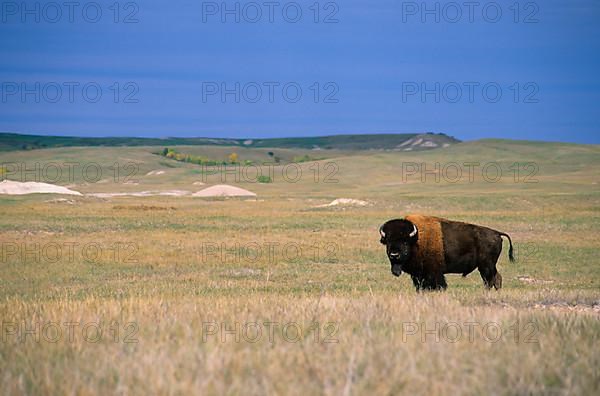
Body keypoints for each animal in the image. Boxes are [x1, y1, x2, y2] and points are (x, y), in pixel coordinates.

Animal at [380, 213, 516, 290]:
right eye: (388, 242)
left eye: (405, 242)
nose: (394, 255)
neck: (416, 240)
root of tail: (497, 233)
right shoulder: (418, 275)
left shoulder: (434, 272)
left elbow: (439, 285)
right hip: (485, 266)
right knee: (494, 279)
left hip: (487, 266)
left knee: (492, 280)